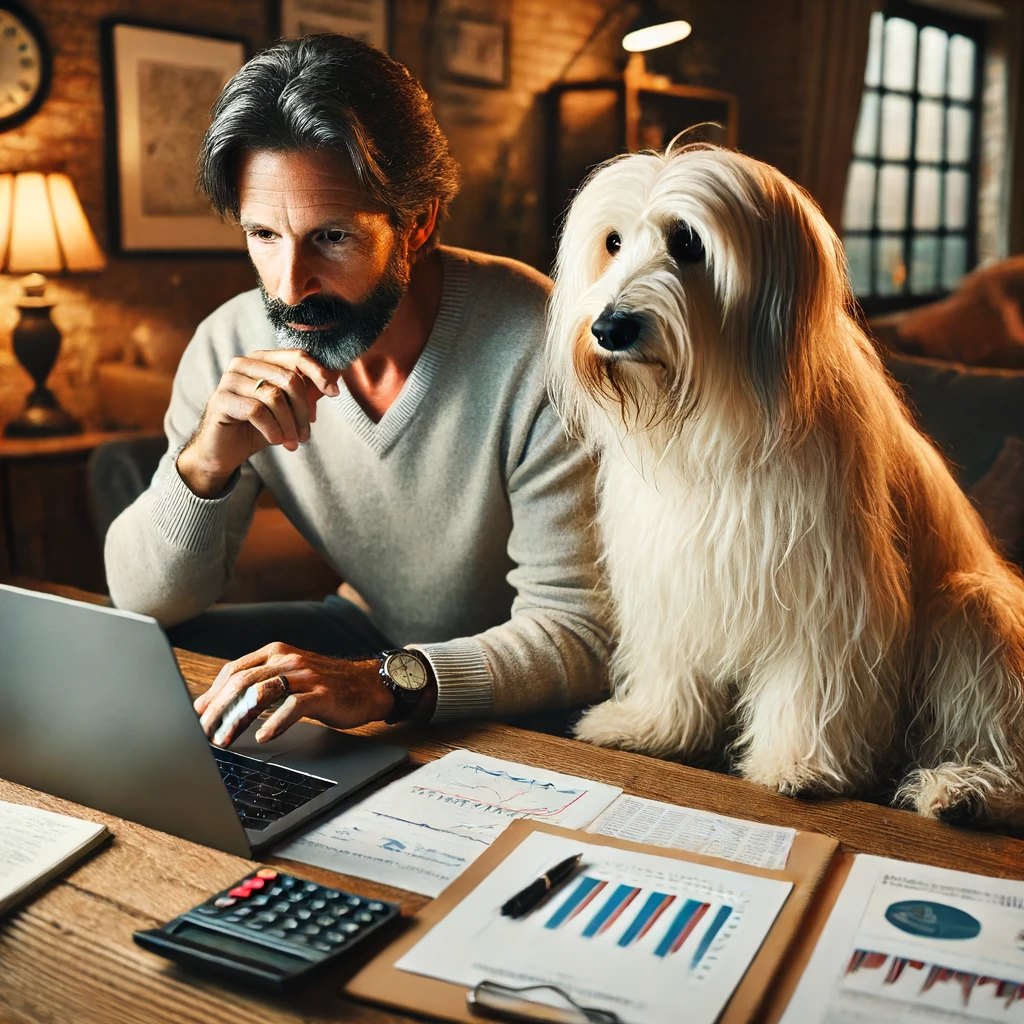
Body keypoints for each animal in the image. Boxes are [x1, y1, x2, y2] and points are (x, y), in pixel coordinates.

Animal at [548, 144, 1024, 827]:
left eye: (687, 241)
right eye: (612, 242)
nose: (610, 328)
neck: (713, 421)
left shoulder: (825, 588)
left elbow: (810, 680)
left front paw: (797, 764)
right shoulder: (673, 571)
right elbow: (672, 666)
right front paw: (652, 728)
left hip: (972, 608)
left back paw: (962, 789)